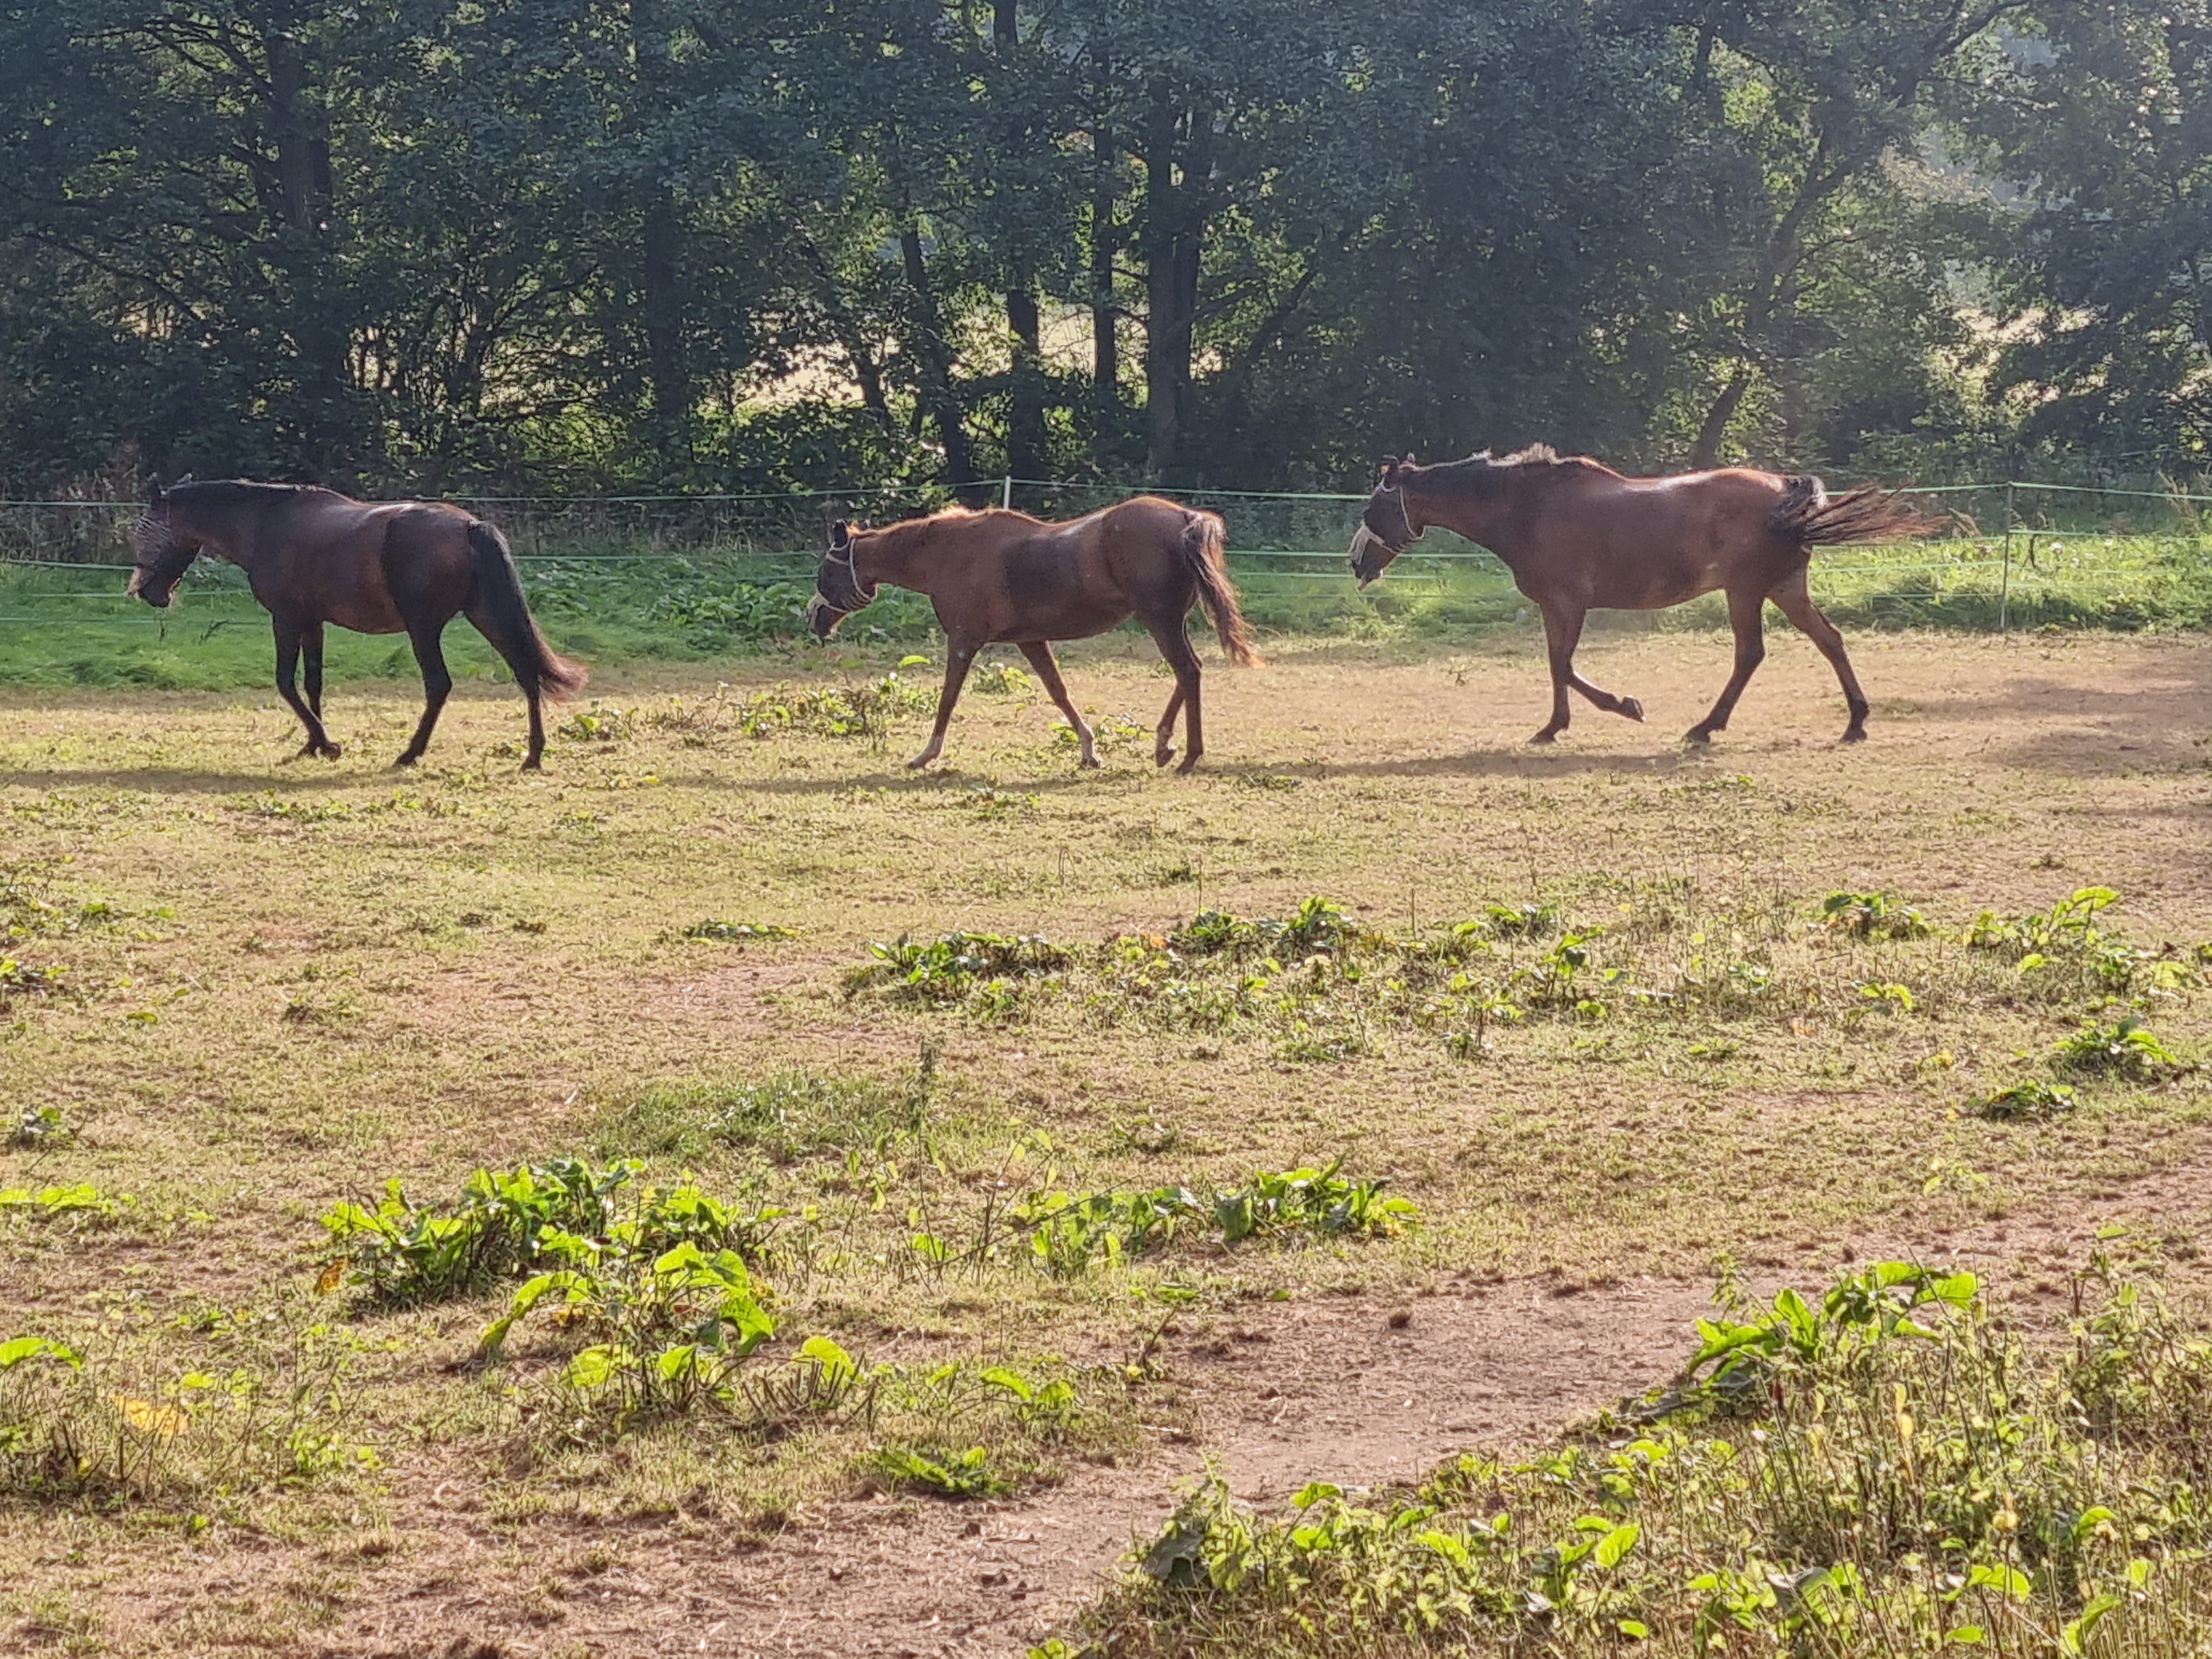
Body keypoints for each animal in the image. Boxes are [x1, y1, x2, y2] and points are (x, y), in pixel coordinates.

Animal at [126, 477, 584, 770]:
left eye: (144, 529)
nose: (150, 593)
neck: (267, 524)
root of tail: (471, 526)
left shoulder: (286, 619)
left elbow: (285, 683)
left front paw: (328, 744)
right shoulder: (313, 623)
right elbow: (313, 683)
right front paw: (313, 744)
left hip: (424, 629)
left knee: (439, 685)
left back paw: (410, 753)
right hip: (486, 615)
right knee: (526, 673)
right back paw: (533, 756)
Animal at [809, 498, 1265, 778]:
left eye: (825, 571)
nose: (814, 619)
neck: (946, 553)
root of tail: (1186, 518)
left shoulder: (963, 640)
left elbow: (947, 699)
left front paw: (925, 755)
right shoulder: (1030, 641)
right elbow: (1059, 693)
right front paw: (1089, 750)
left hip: (1160, 620)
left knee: (1187, 671)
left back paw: (1186, 755)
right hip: (1169, 621)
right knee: (1190, 672)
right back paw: (1164, 746)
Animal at [1336, 449, 1928, 747]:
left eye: (1373, 506)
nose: (1357, 563)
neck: (1528, 509)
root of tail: (1785, 490)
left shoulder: (1567, 603)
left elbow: (1563, 666)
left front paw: (1623, 707)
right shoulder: (1555, 607)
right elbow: (1557, 666)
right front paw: (1554, 727)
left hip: (1745, 592)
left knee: (1750, 655)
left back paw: (1705, 728)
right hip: (1785, 589)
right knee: (1831, 641)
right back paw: (1855, 722)